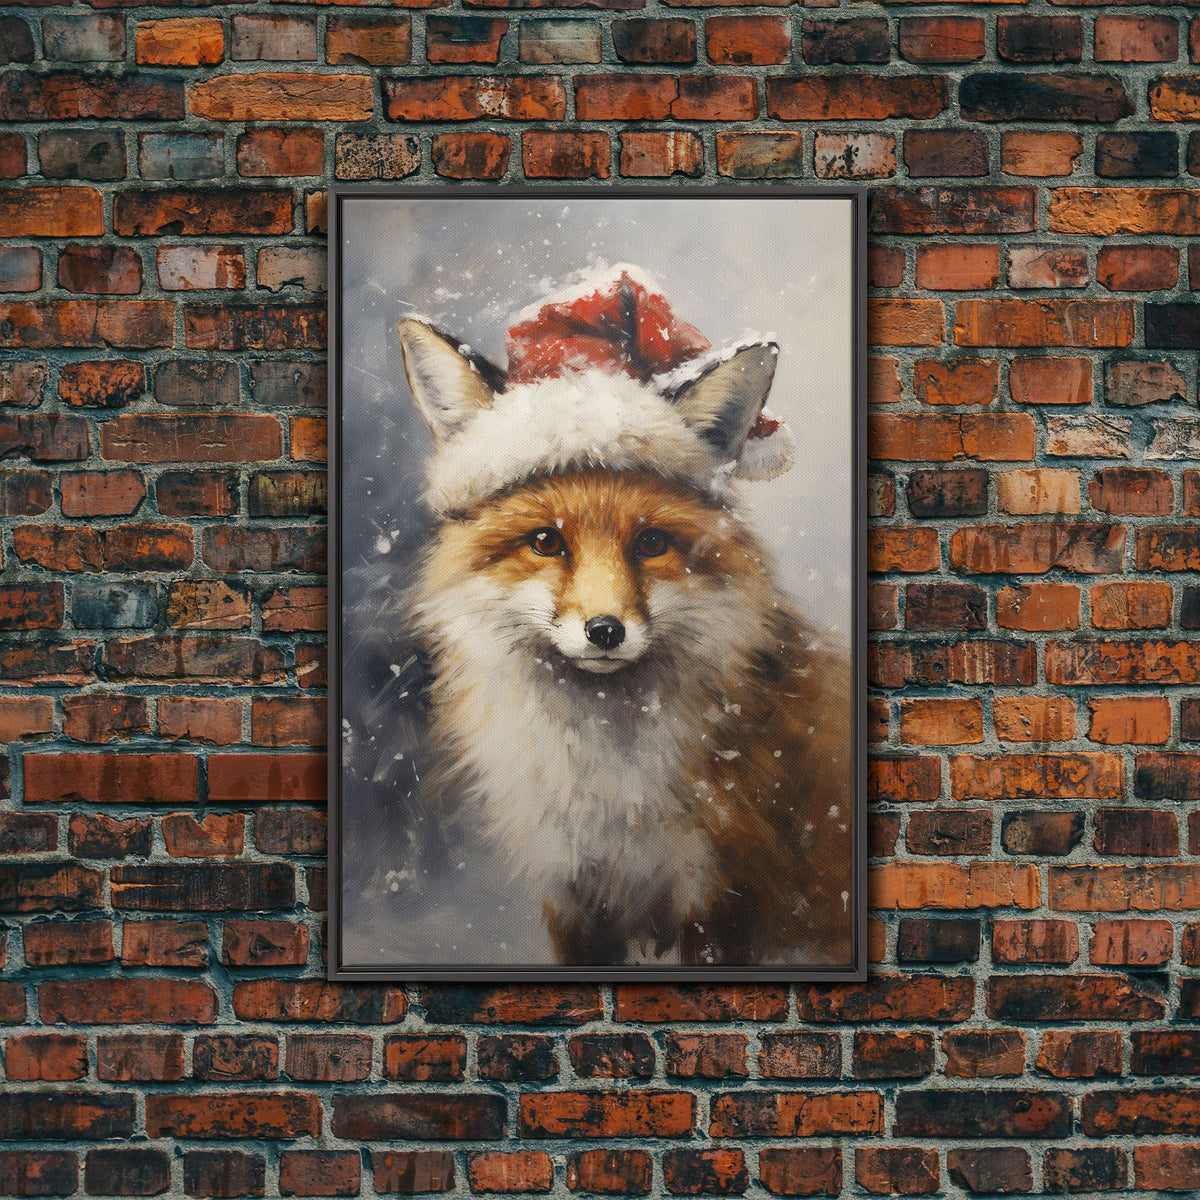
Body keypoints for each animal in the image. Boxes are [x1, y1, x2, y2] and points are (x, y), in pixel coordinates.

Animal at [394, 277, 853, 968]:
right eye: (545, 541)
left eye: (652, 542)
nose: (606, 631)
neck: (606, 793)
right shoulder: (574, 894)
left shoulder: (718, 896)